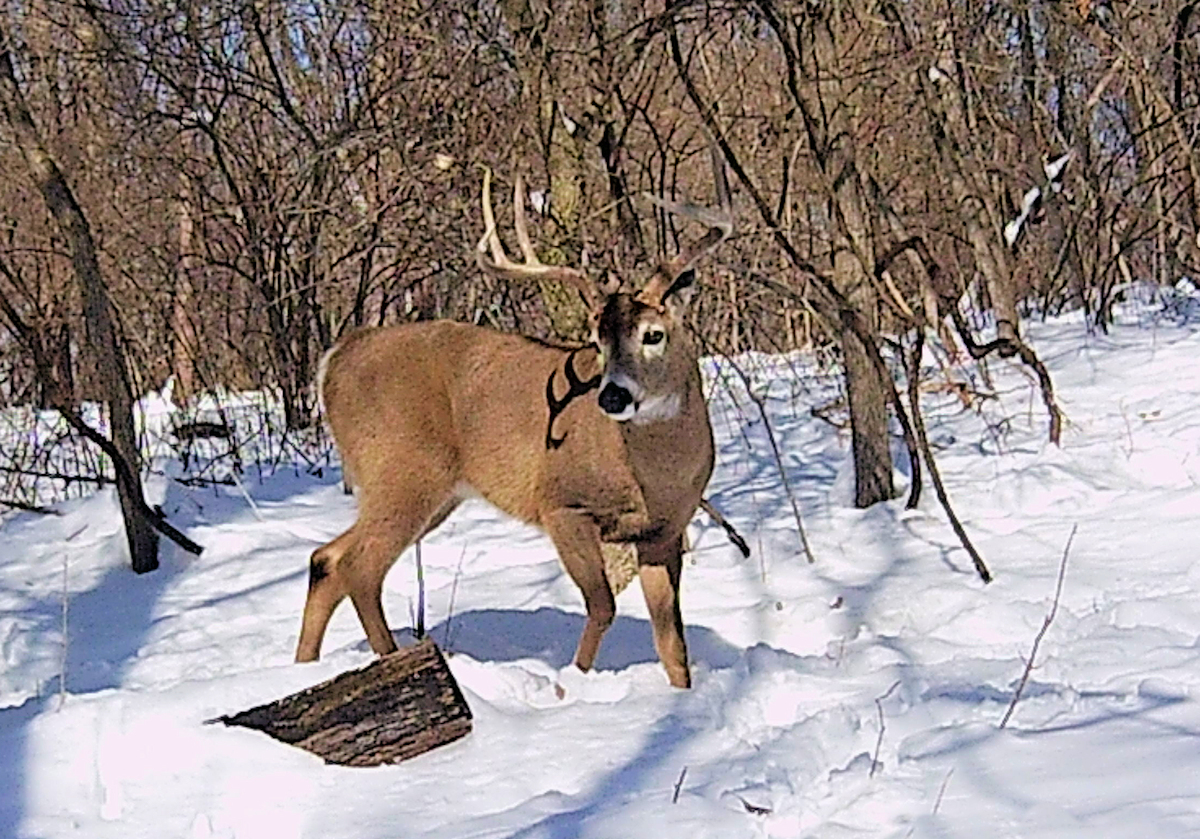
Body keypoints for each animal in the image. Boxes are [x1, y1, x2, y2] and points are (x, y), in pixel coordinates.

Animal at [295, 144, 733, 689]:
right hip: (402, 471)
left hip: (425, 491)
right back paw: (394, 663)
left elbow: (672, 641)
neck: (654, 478)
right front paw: (573, 684)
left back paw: (303, 669)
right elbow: (603, 606)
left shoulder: (665, 531)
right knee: (359, 568)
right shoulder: (561, 505)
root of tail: (334, 357)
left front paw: (681, 696)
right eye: (596, 339)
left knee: (326, 558)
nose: (612, 397)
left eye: (654, 334)